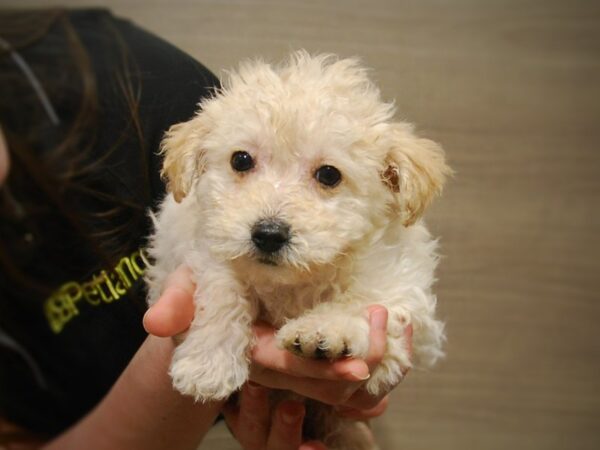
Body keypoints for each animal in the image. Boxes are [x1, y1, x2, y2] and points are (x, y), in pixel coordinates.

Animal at [146, 52, 450, 450]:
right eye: (240, 160)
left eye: (329, 175)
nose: (268, 234)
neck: (296, 280)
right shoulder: (205, 249)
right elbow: (223, 292)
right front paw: (208, 363)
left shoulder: (400, 279)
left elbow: (365, 300)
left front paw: (323, 331)